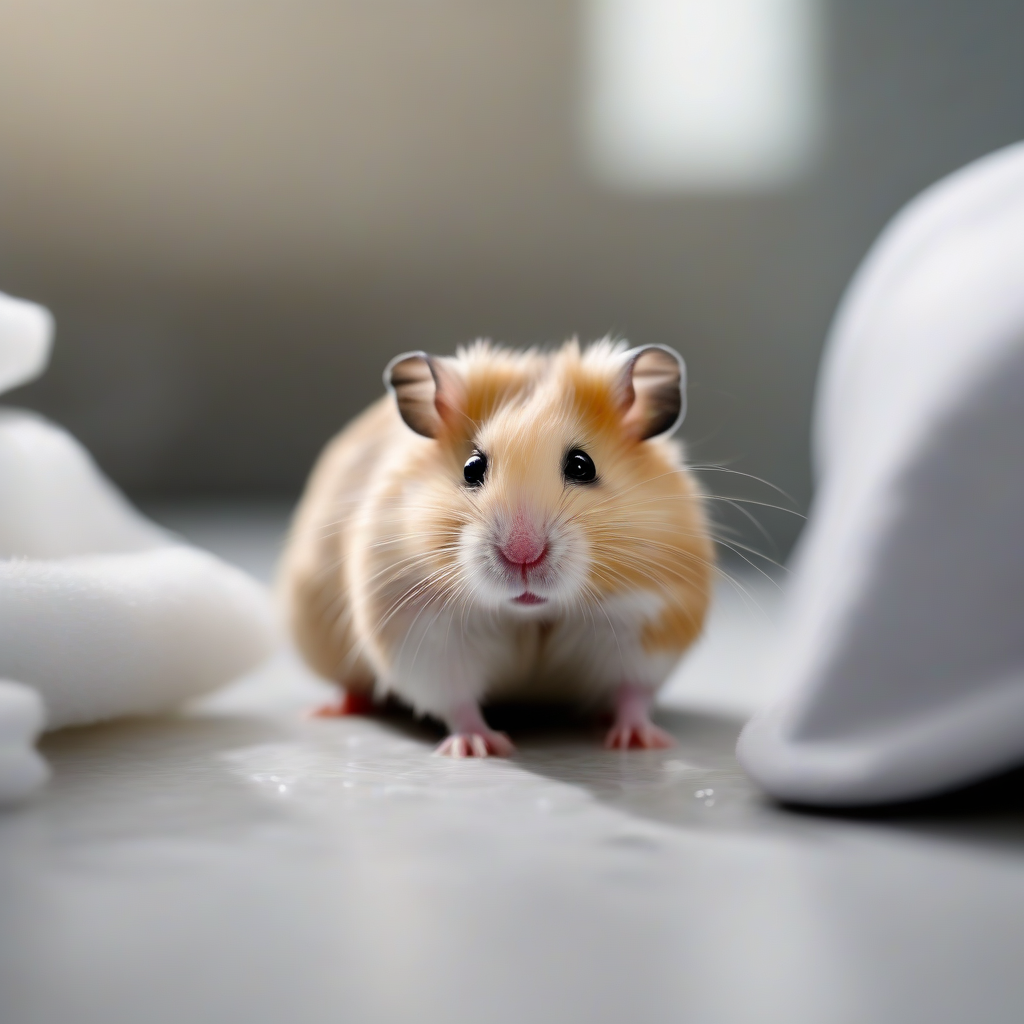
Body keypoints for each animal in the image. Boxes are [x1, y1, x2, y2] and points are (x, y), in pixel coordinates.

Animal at [279, 338, 713, 757]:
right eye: (472, 468)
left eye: (582, 465)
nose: (522, 555)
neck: (530, 615)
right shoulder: (426, 632)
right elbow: (454, 698)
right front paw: (479, 747)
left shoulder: (647, 619)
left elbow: (632, 691)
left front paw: (639, 740)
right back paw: (331, 709)